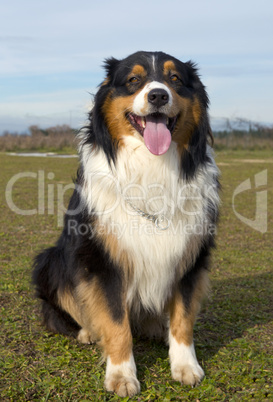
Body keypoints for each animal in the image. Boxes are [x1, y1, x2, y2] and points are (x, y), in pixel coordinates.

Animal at [31, 51, 219, 398]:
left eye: (175, 79)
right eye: (133, 80)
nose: (158, 95)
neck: (152, 165)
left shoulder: (191, 258)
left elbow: (184, 318)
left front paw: (185, 366)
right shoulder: (102, 261)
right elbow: (116, 324)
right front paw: (121, 375)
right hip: (49, 259)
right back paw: (88, 332)